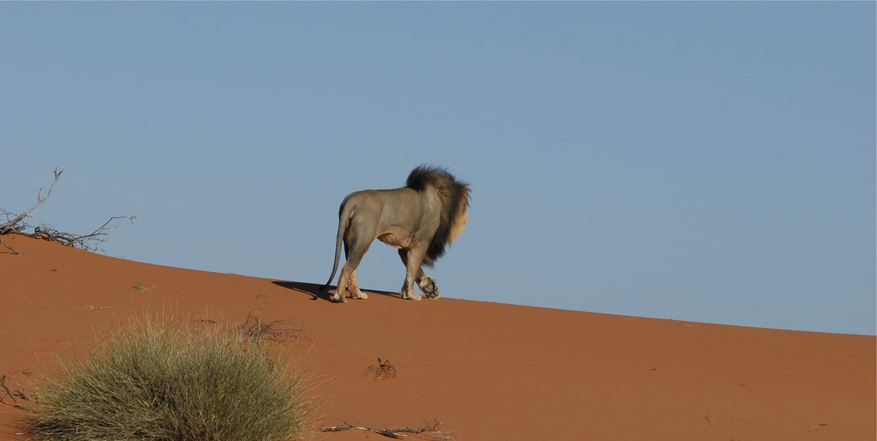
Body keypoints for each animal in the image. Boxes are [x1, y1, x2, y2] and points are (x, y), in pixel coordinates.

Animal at [322, 165, 468, 302]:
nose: (466, 217)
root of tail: (351, 200)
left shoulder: (404, 248)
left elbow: (413, 271)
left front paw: (421, 290)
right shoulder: (421, 243)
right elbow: (413, 270)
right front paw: (413, 295)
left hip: (349, 241)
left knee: (352, 270)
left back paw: (358, 294)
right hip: (363, 240)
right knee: (346, 268)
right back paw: (340, 297)